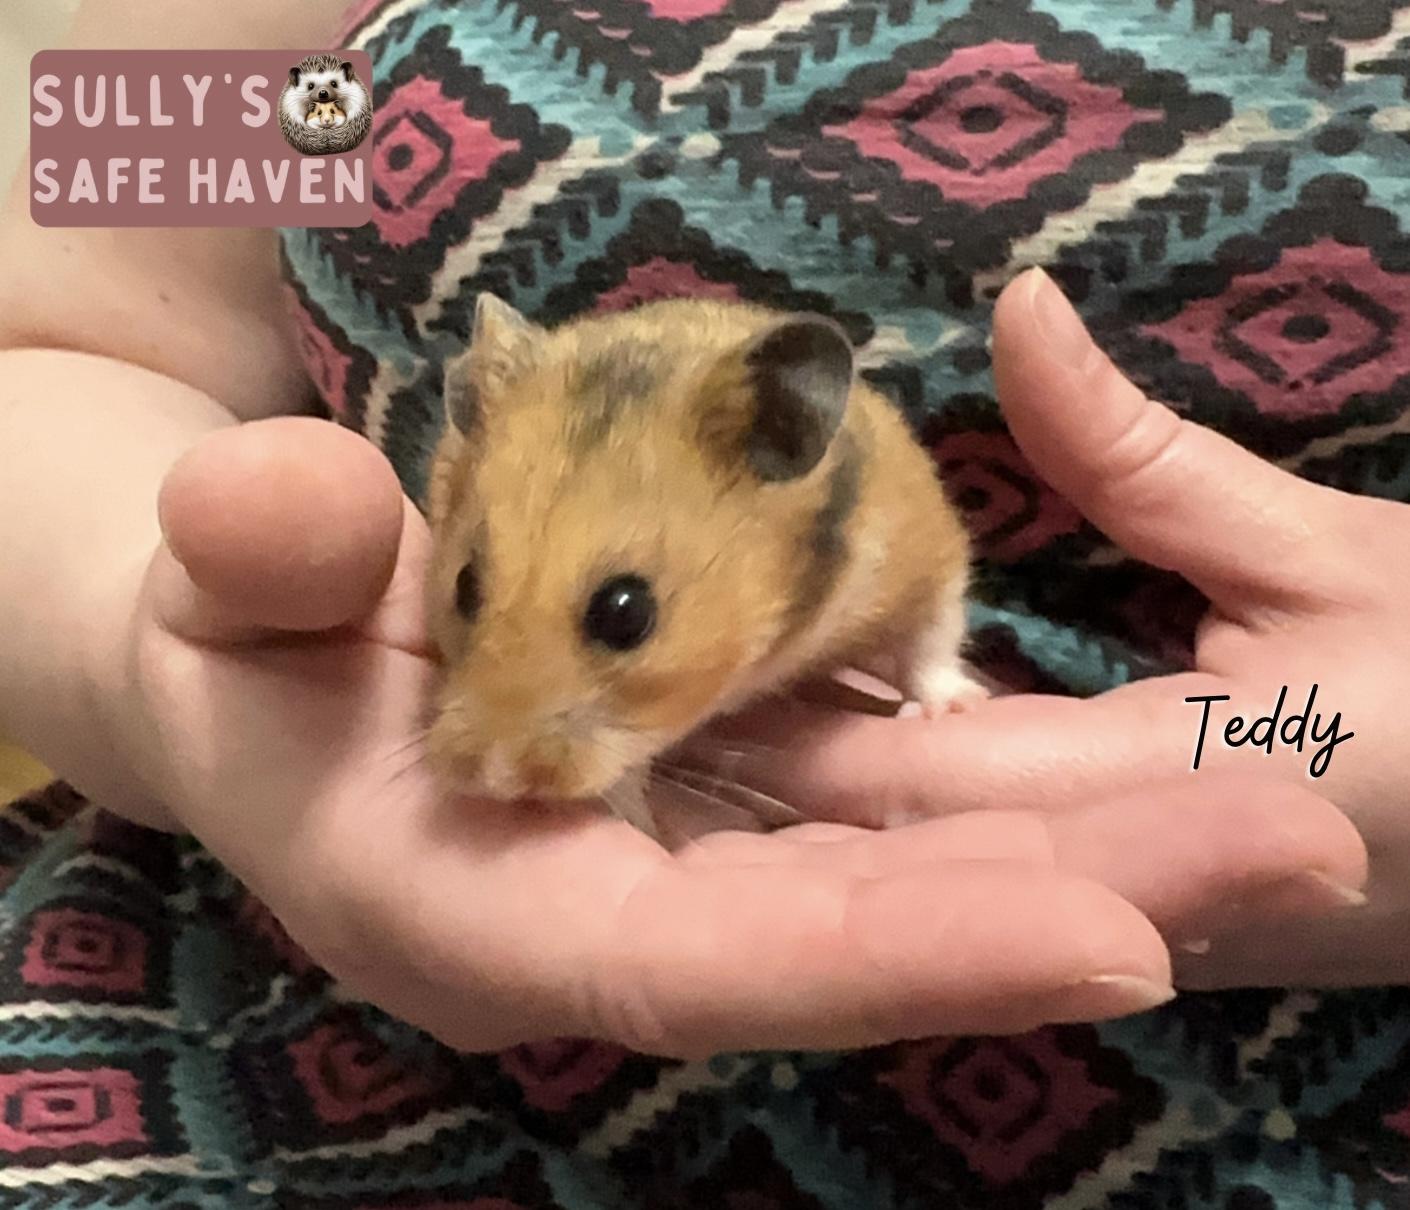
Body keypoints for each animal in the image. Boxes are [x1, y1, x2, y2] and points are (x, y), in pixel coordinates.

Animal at [424, 295, 983, 837]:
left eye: (626, 612)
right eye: (465, 585)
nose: (491, 779)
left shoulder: (928, 553)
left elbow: (930, 638)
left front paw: (949, 709)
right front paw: (641, 823)